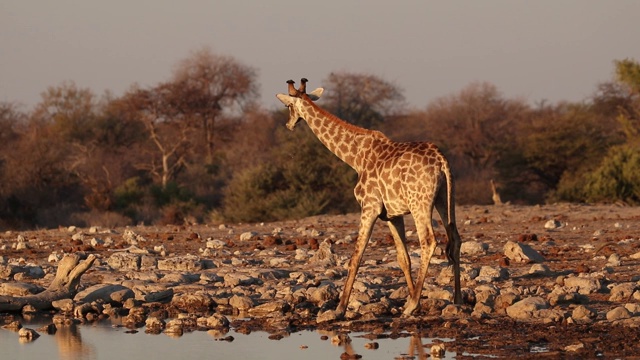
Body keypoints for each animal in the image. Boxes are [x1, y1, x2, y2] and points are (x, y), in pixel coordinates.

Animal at [278, 78, 462, 316]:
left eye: (287, 106)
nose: (289, 125)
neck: (355, 157)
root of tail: (441, 160)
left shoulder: (369, 207)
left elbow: (356, 256)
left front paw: (340, 308)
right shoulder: (392, 215)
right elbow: (403, 258)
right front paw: (412, 299)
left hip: (419, 203)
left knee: (429, 241)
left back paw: (412, 306)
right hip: (444, 197)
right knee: (455, 238)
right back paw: (457, 299)